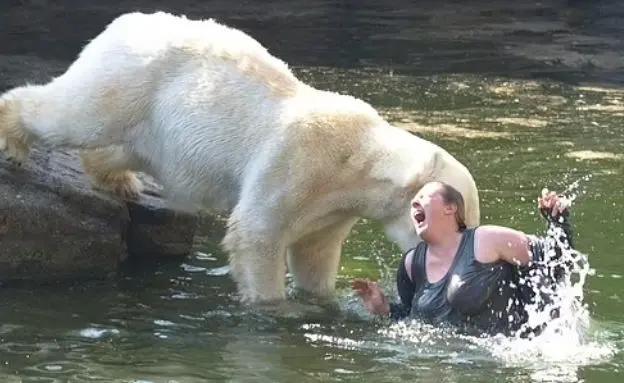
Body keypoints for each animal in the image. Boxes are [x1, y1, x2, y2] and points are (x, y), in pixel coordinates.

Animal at [0, 10, 482, 306]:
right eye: (461, 218)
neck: (357, 160)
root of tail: (124, 22)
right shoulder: (299, 161)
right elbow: (257, 231)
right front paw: (273, 307)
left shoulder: (333, 209)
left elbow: (314, 251)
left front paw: (322, 300)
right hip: (132, 77)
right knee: (77, 114)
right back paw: (14, 141)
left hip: (155, 121)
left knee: (127, 147)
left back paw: (117, 180)